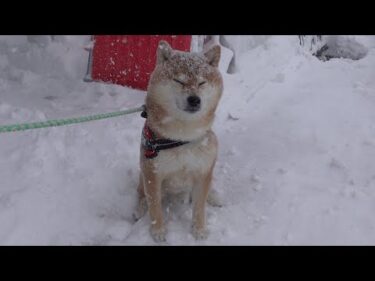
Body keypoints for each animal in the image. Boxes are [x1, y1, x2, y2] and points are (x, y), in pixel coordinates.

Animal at [134, 40, 223, 242]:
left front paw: (199, 229)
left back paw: (214, 196)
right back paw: (139, 209)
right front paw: (158, 231)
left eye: (201, 82)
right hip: (143, 172)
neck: (182, 137)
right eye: (179, 81)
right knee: (141, 194)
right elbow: (155, 207)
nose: (194, 99)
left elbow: (199, 206)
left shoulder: (203, 170)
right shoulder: (152, 173)